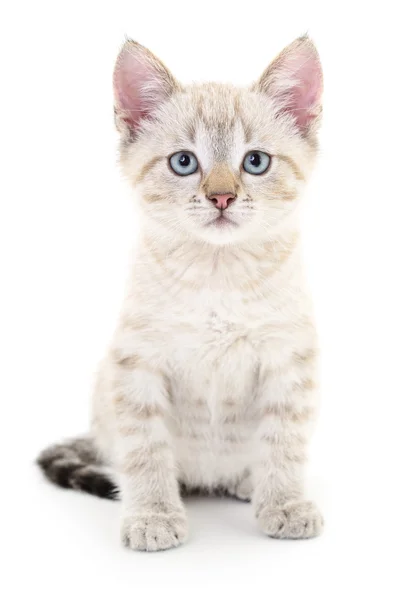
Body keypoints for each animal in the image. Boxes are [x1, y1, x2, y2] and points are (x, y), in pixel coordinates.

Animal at [38, 35, 326, 552]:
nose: (222, 197)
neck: (217, 273)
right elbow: (146, 449)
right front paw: (152, 515)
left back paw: (247, 483)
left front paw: (285, 504)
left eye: (255, 161)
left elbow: (284, 443)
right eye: (184, 162)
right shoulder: (137, 363)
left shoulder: (289, 361)